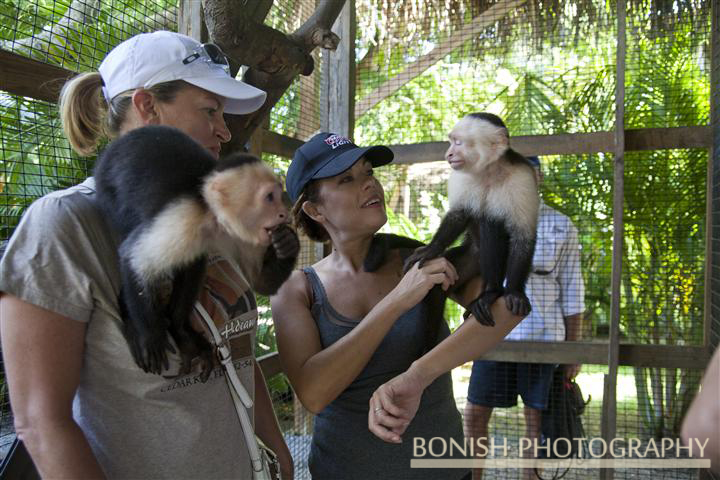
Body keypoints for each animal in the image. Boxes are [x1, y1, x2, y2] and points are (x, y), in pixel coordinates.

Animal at [93, 124, 300, 378]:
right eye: (269, 197)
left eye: (279, 194)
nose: (284, 213)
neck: (211, 214)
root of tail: (109, 149)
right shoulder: (185, 216)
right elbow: (132, 257)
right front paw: (148, 334)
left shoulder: (235, 233)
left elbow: (260, 282)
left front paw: (287, 243)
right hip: (107, 190)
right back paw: (134, 319)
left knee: (193, 261)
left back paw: (179, 328)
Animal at [402, 112, 536, 338]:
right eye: (451, 141)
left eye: (458, 142)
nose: (448, 154)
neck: (489, 171)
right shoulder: (459, 176)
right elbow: (458, 214)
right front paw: (431, 249)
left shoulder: (522, 178)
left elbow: (523, 234)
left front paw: (514, 292)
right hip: (469, 257)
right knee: (437, 286)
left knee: (492, 220)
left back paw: (491, 292)